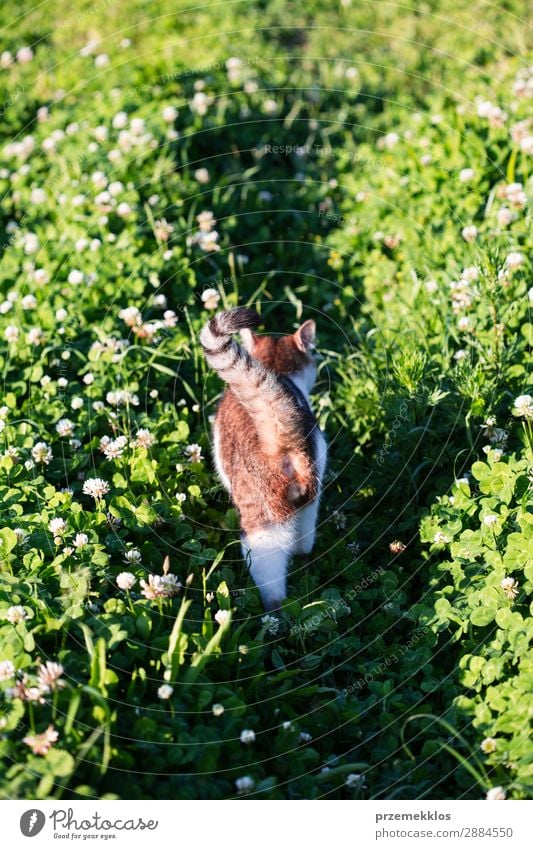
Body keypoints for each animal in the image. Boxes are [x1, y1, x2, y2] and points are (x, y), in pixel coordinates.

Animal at [198, 308, 326, 608]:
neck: (273, 369)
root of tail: (279, 441)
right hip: (310, 501)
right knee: (303, 543)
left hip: (262, 525)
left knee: (271, 579)